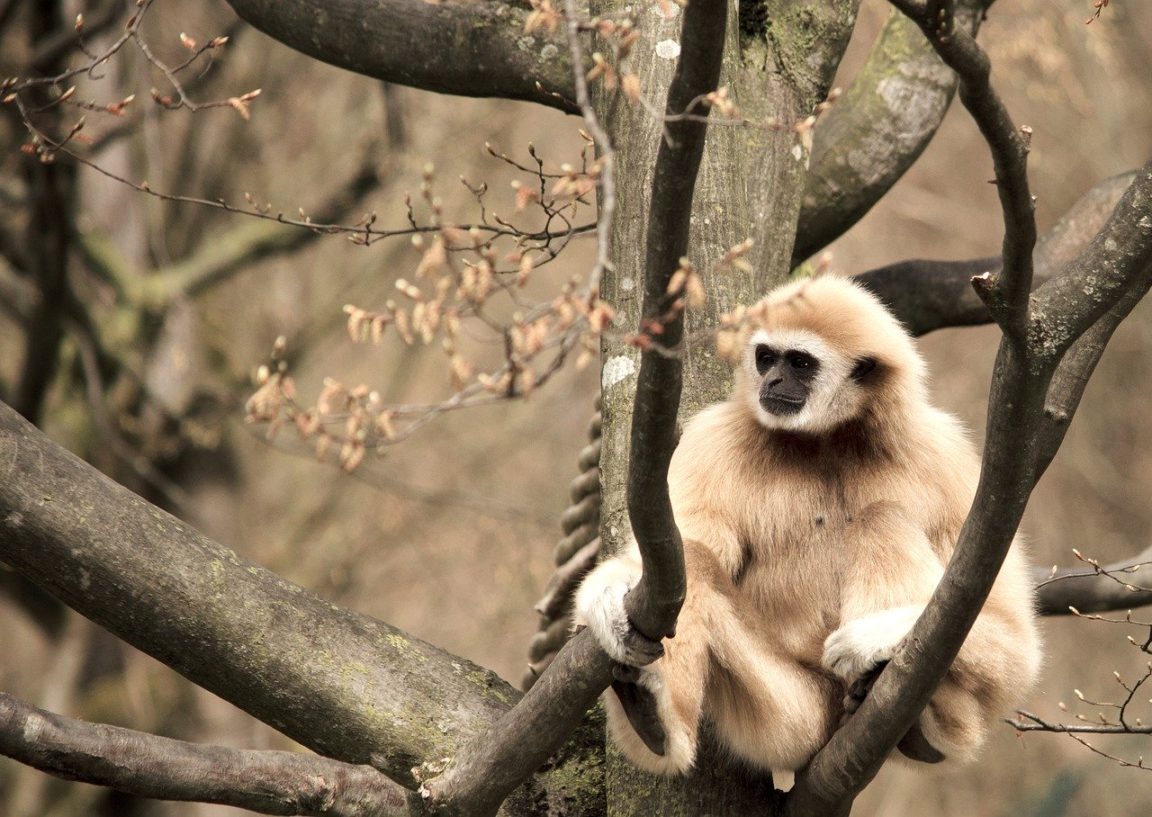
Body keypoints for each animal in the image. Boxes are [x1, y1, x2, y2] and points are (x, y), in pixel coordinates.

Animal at [575, 275, 1042, 775]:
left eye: (799, 362)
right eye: (765, 357)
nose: (773, 380)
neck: (827, 440)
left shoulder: (947, 454)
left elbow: (1015, 643)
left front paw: (871, 638)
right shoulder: (713, 442)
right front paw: (605, 597)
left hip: (956, 722)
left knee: (882, 517)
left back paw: (893, 703)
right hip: (793, 720)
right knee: (691, 565)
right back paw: (649, 713)